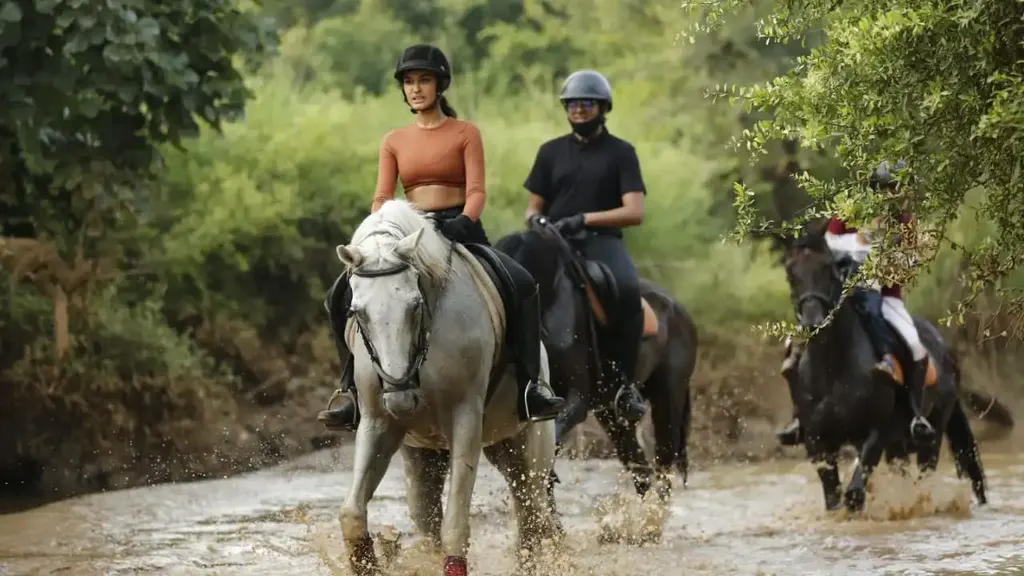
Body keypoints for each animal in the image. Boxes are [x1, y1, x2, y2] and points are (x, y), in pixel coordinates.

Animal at [332, 200, 560, 576]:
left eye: (415, 305)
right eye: (356, 312)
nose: (401, 398)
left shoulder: (465, 417)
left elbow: (455, 526)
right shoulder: (376, 422)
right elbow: (351, 513)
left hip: (529, 446)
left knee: (534, 516)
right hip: (434, 456)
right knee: (430, 514)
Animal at [495, 219, 697, 507]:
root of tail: (680, 310)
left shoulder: (576, 399)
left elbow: (551, 445)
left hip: (669, 397)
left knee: (663, 469)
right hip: (611, 415)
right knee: (641, 470)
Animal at [778, 220, 988, 512]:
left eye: (828, 269)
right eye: (790, 275)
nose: (812, 321)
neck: (832, 367)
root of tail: (945, 350)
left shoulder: (878, 431)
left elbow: (854, 494)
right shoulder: (817, 441)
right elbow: (833, 499)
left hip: (931, 433)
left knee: (924, 473)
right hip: (897, 446)